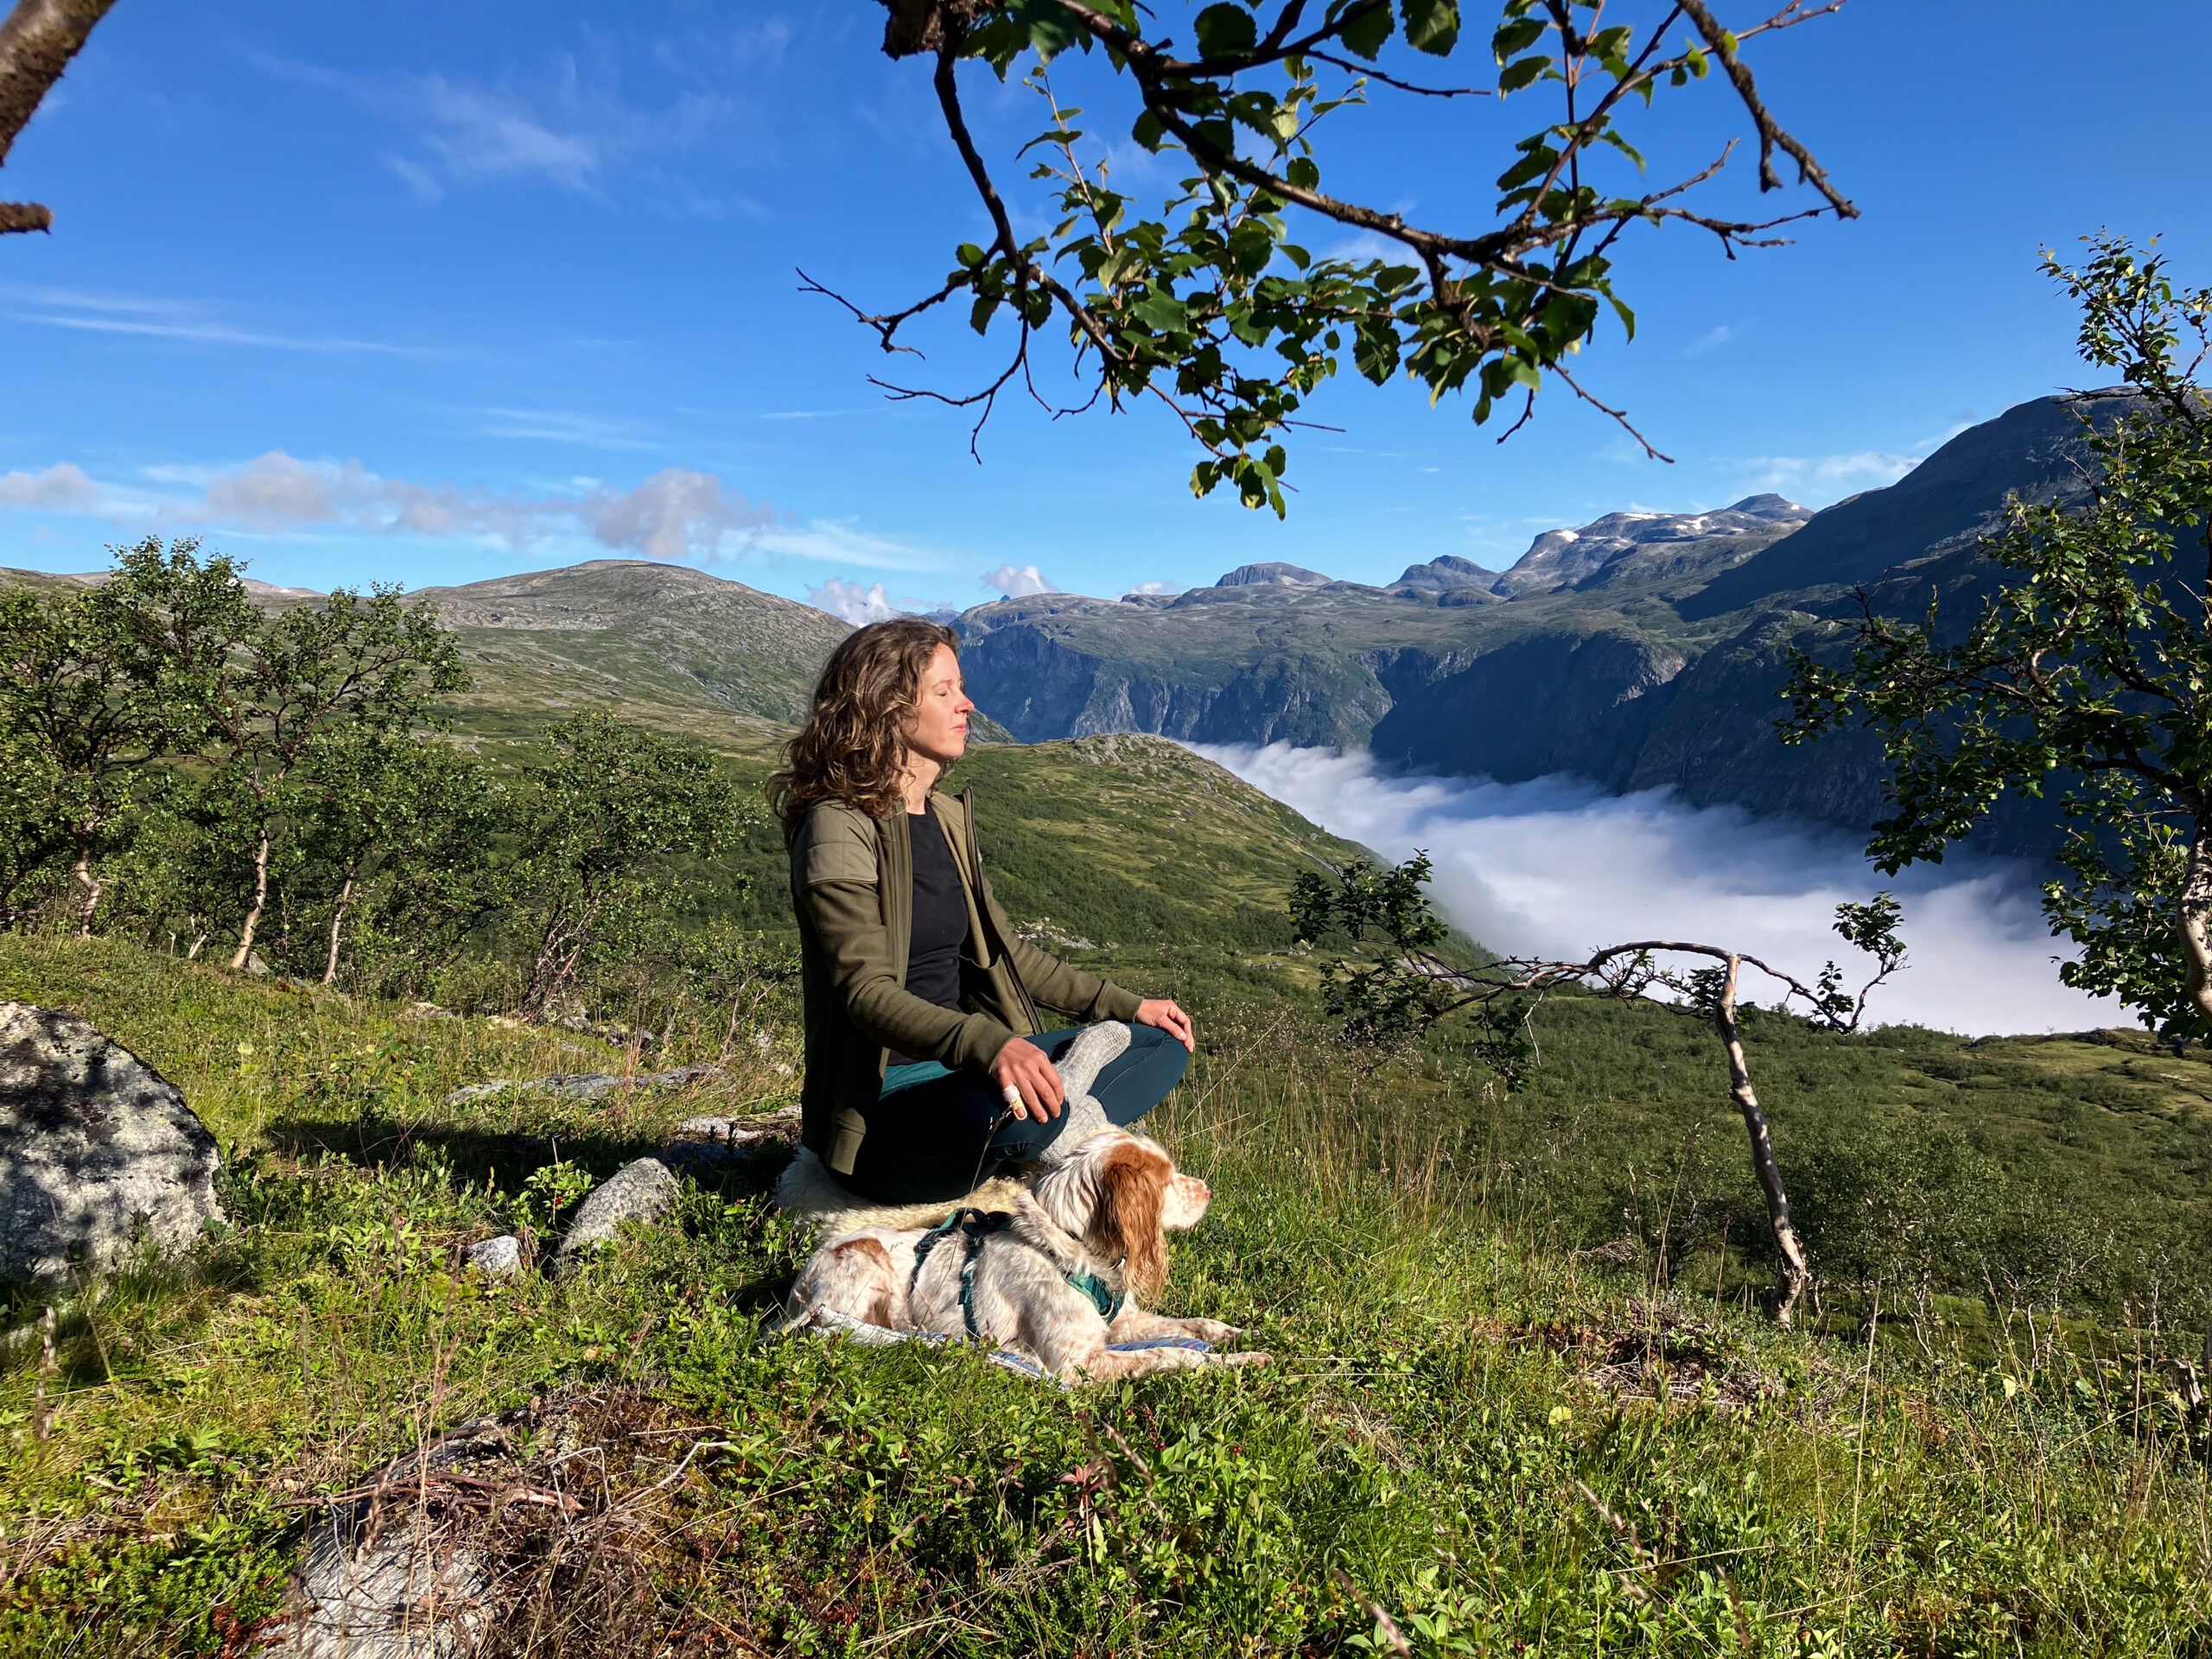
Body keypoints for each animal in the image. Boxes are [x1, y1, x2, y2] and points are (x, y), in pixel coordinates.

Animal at [786, 1129, 1260, 1383]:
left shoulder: (1122, 1324)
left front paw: (1239, 1341)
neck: (1069, 1247)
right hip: (862, 1269)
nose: (1209, 1191)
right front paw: (1233, 1361)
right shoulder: (1075, 1365)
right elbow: (1172, 1353)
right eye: (1166, 1181)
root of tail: (797, 1292)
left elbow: (1193, 1326)